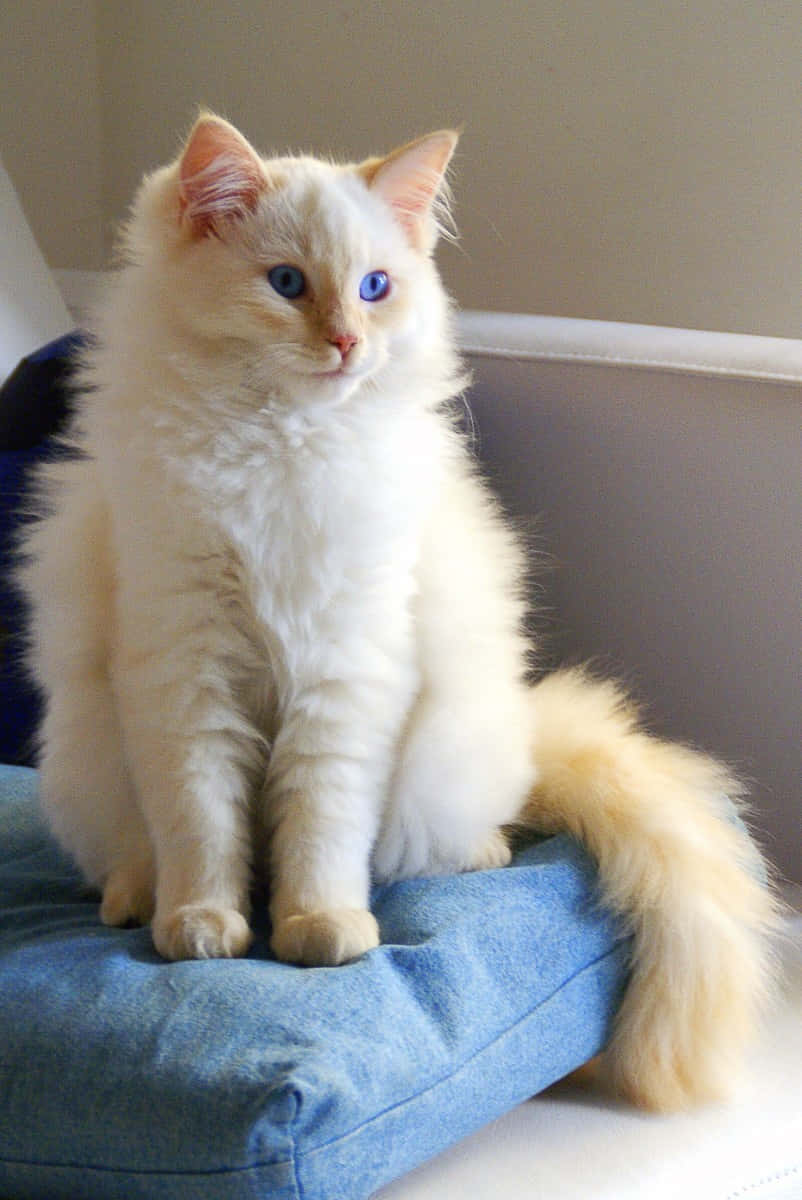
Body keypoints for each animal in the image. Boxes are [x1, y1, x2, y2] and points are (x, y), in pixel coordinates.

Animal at [20, 112, 777, 1104]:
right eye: (288, 284)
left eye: (375, 289)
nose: (347, 342)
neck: (278, 444)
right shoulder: (184, 664)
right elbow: (203, 821)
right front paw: (202, 926)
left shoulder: (347, 668)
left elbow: (320, 828)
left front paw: (319, 929)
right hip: (84, 757)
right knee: (134, 853)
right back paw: (134, 900)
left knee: (455, 834)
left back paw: (482, 852)